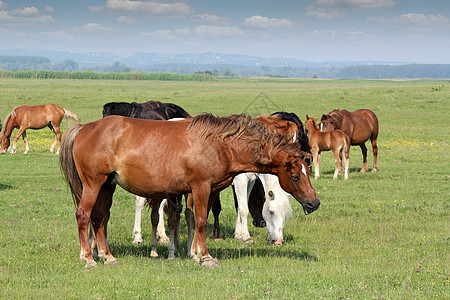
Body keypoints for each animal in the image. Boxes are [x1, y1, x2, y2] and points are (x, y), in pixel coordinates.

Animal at [60, 113, 320, 268]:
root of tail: (84, 128)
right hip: (94, 184)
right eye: (295, 176)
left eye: (308, 170)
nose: (314, 203)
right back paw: (89, 258)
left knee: (99, 218)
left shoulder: (209, 190)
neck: (220, 145)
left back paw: (107, 255)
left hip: (107, 186)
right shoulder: (201, 187)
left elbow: (194, 219)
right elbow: (202, 221)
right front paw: (205, 257)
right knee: (83, 216)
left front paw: (193, 252)